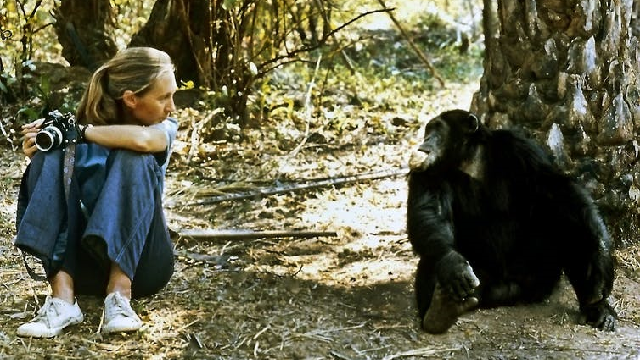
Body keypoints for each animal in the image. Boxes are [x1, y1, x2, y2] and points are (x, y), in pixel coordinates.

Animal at [408, 108, 616, 334]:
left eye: (437, 129)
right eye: (429, 130)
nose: (426, 140)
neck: (468, 160)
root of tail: (508, 287)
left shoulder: (521, 149)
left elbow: (560, 191)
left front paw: (600, 246)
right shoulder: (426, 170)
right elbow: (429, 211)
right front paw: (452, 263)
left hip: (539, 275)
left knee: (564, 228)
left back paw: (596, 305)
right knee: (433, 255)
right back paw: (439, 311)